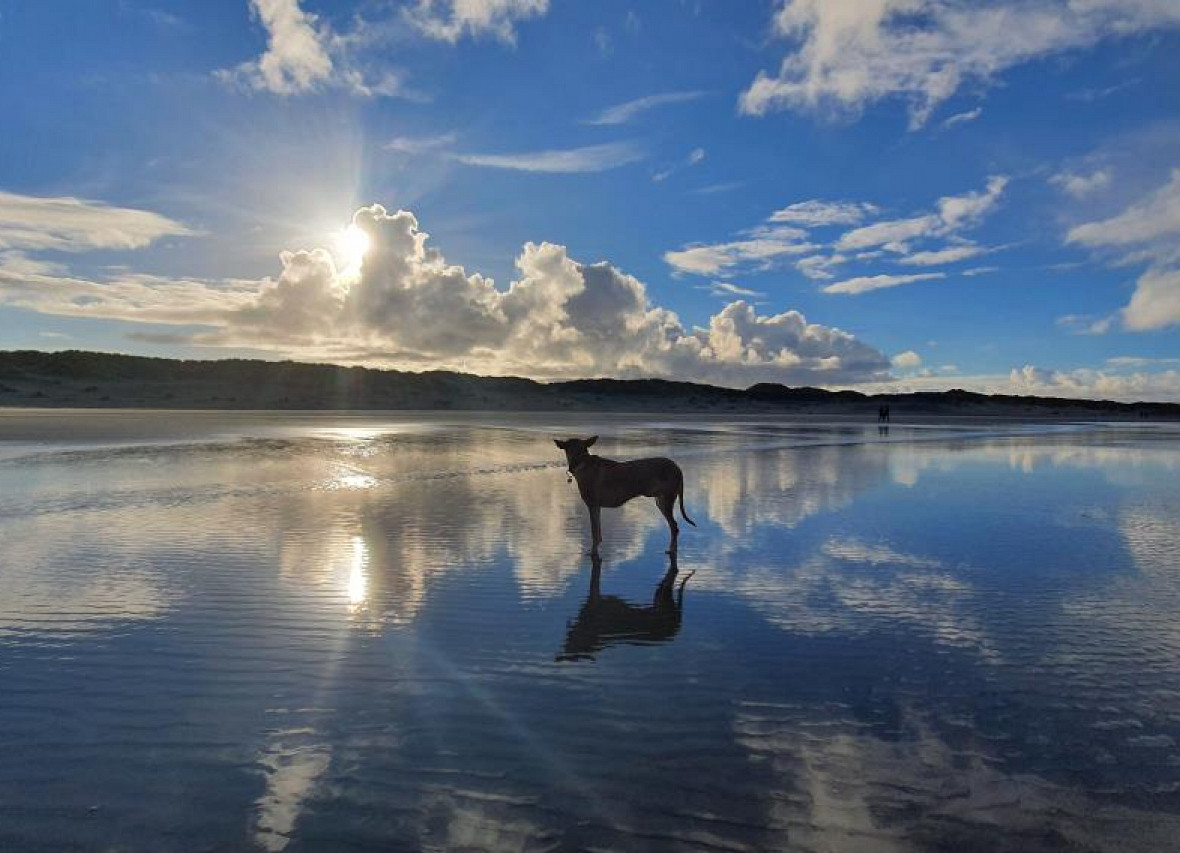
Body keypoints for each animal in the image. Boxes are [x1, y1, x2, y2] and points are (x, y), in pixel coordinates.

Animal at [556, 436, 693, 556]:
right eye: (568, 448)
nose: (571, 468)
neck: (583, 463)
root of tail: (677, 467)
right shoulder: (597, 507)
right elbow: (598, 533)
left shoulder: (592, 505)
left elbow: (594, 533)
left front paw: (593, 552)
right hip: (660, 502)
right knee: (673, 526)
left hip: (666, 501)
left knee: (674, 527)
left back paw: (672, 550)